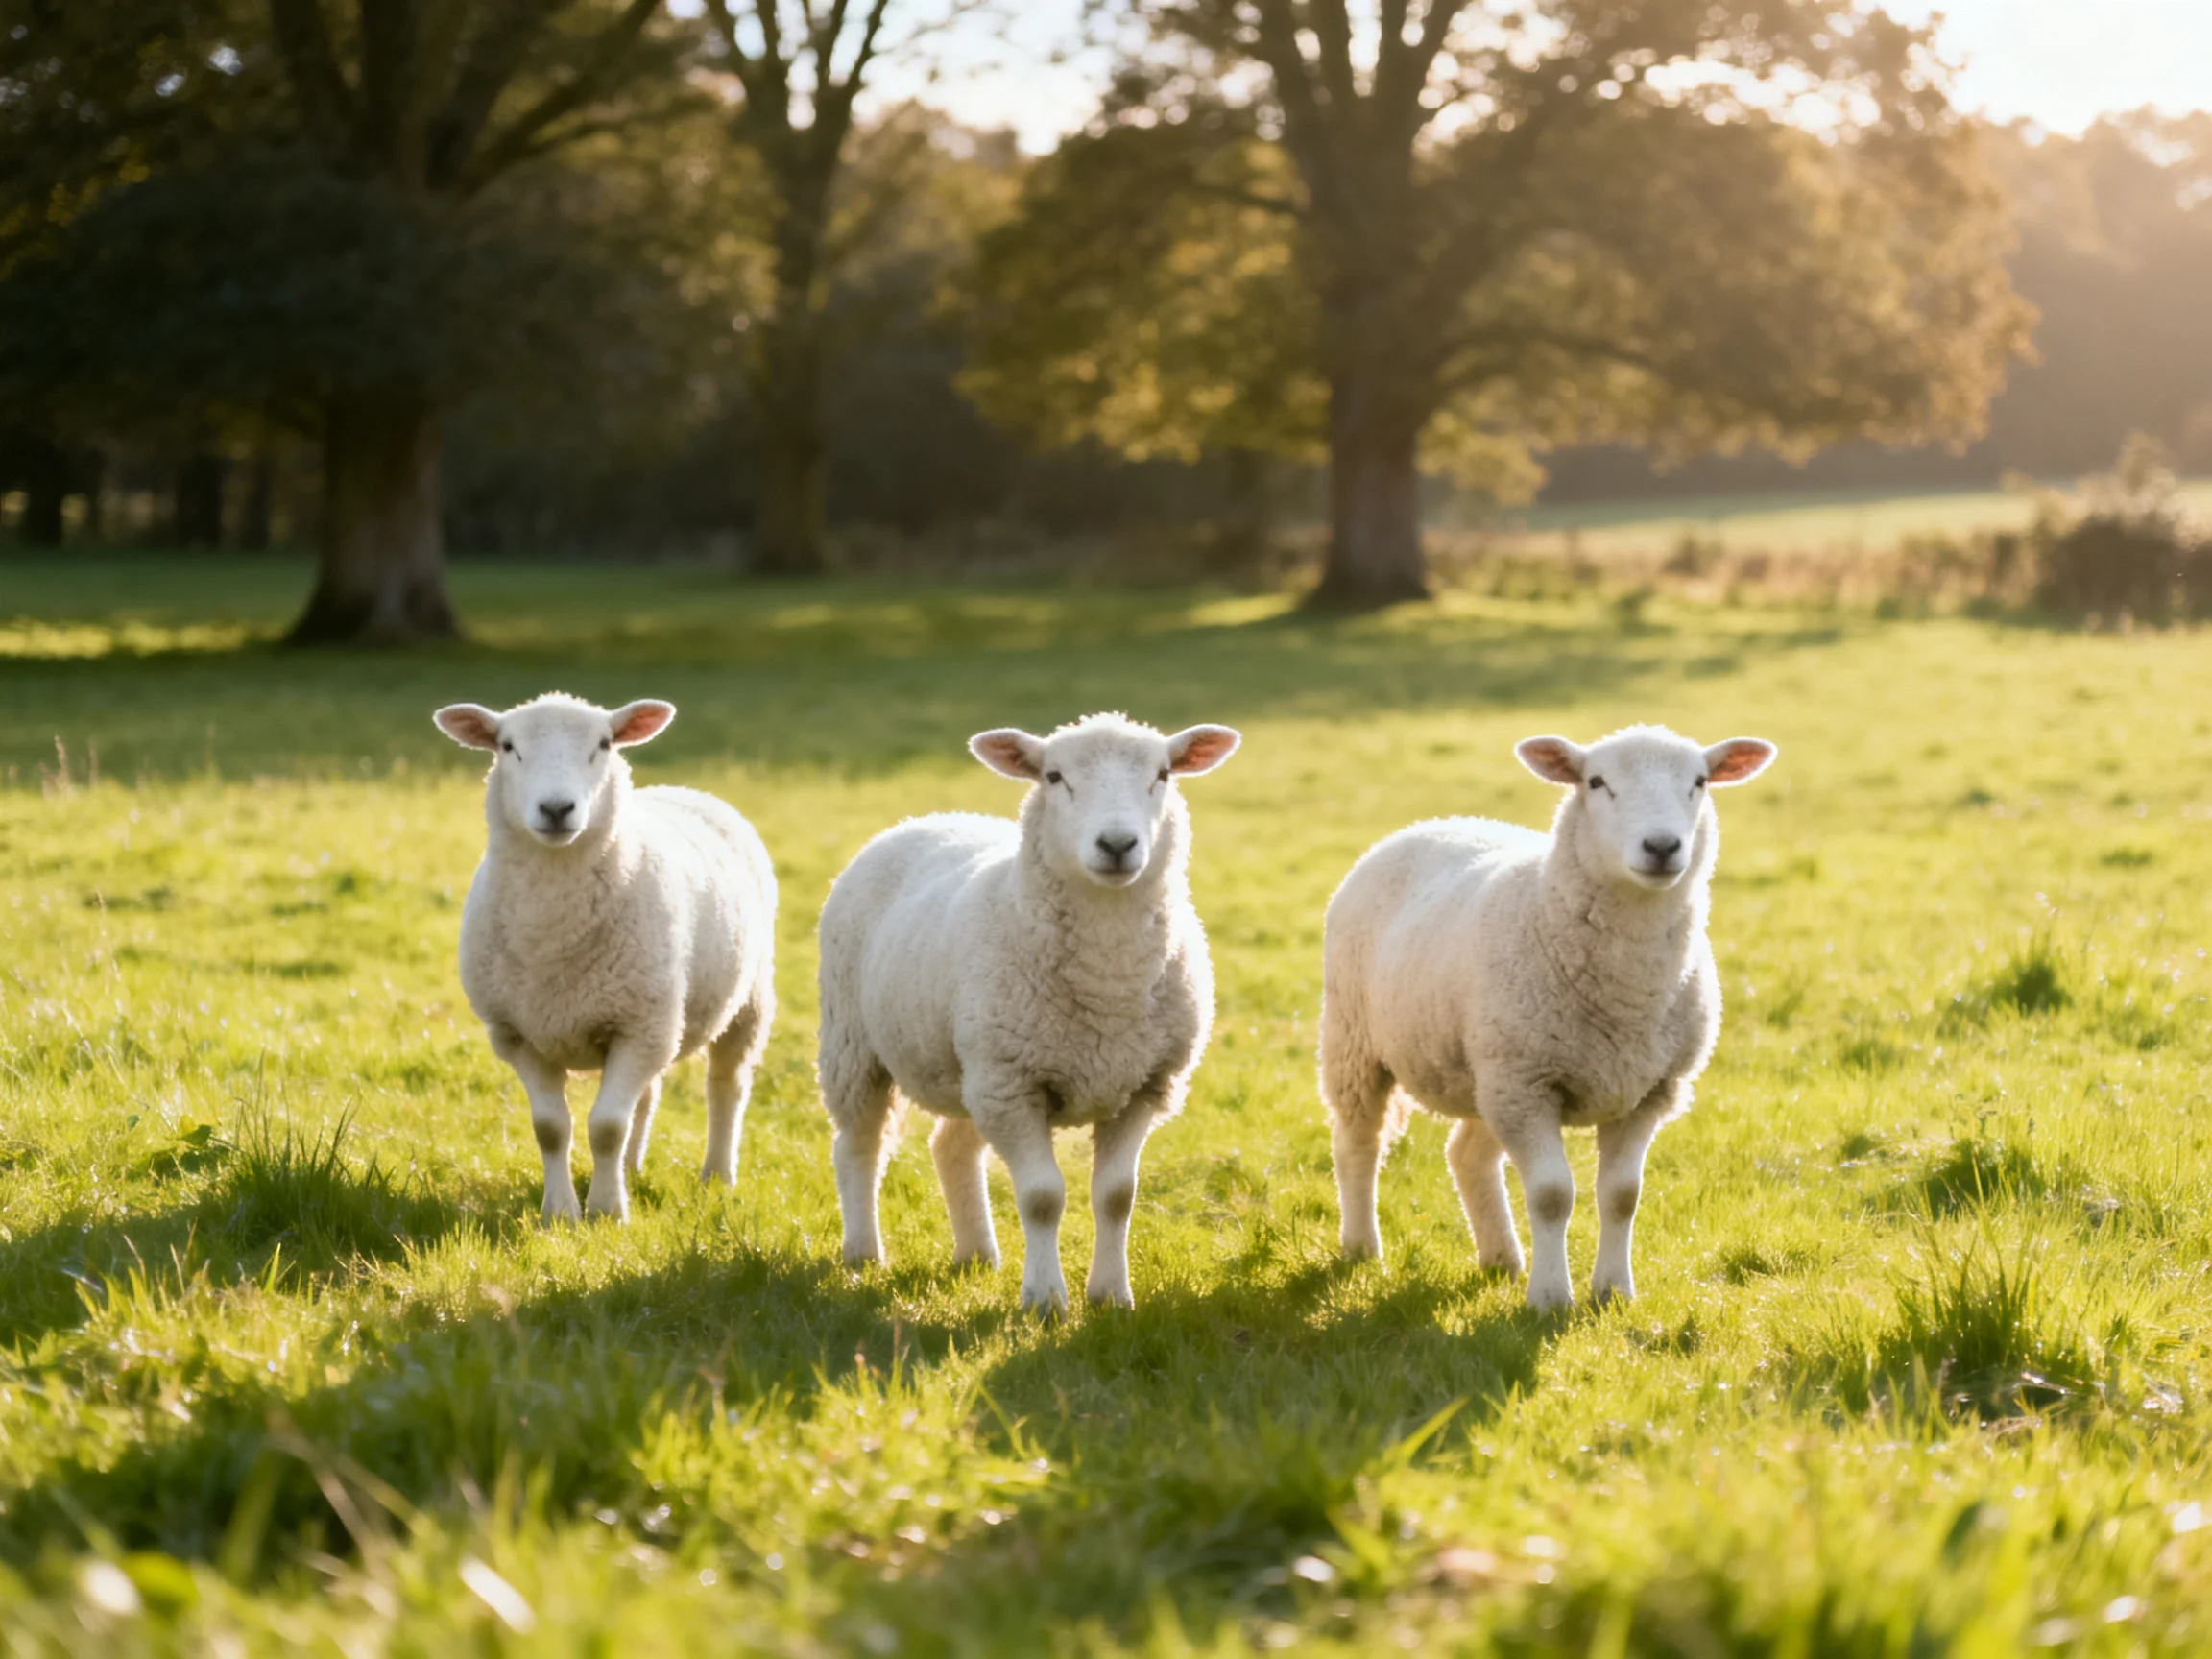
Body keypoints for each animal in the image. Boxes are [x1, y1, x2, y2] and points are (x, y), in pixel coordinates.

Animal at [433, 693, 776, 1224]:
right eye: (508, 746)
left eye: (604, 744)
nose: (556, 808)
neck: (554, 934)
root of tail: (686, 789)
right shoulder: (518, 1035)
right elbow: (552, 1127)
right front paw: (560, 1212)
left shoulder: (639, 1028)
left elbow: (606, 1126)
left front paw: (607, 1211)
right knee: (647, 1096)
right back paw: (632, 1169)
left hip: (745, 1002)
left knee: (726, 1086)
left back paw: (717, 1175)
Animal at [816, 712, 1241, 1314]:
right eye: (1054, 777)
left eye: (1162, 774)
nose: (1117, 844)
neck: (1109, 983)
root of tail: (927, 817)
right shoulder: (1013, 1087)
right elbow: (1042, 1197)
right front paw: (1045, 1300)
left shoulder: (1145, 1085)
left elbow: (1117, 1196)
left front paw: (1111, 1296)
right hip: (856, 1044)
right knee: (858, 1146)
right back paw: (863, 1253)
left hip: (969, 1064)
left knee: (950, 1146)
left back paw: (976, 1254)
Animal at [1318, 724, 1776, 1311]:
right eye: (1596, 782)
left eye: (1699, 781)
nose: (1662, 847)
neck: (1626, 993)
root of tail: (1434, 822)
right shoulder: (1529, 1086)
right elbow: (1553, 1195)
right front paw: (1551, 1299)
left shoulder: (1647, 1091)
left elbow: (1623, 1195)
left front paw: (1613, 1291)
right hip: (1359, 1042)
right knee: (1358, 1143)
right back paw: (1361, 1247)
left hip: (1486, 1071)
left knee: (1466, 1155)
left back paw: (1501, 1258)